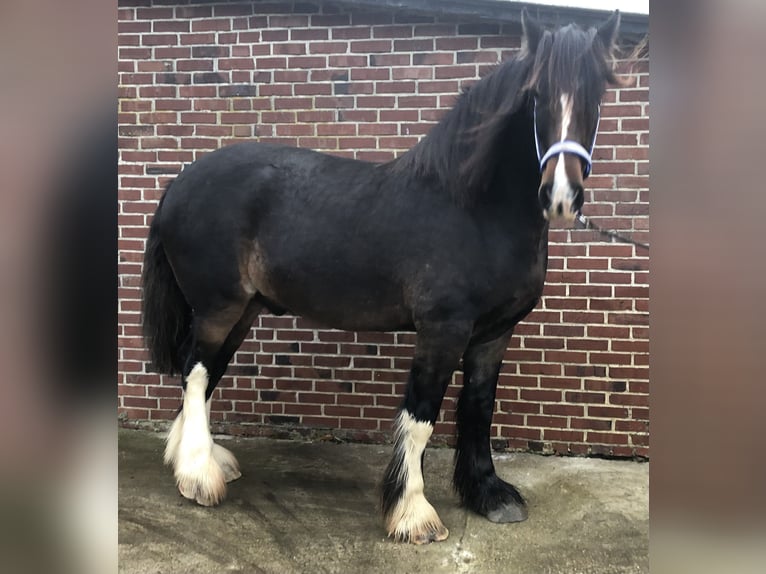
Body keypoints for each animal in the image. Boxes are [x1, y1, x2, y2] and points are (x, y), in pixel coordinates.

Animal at [141, 10, 622, 544]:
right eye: (536, 96)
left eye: (598, 92)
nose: (560, 196)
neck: (475, 211)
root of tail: (178, 185)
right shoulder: (442, 330)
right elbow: (421, 418)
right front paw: (412, 513)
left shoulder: (493, 334)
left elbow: (478, 409)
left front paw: (489, 494)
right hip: (218, 307)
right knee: (197, 373)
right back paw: (198, 475)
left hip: (243, 309)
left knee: (205, 372)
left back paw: (201, 462)